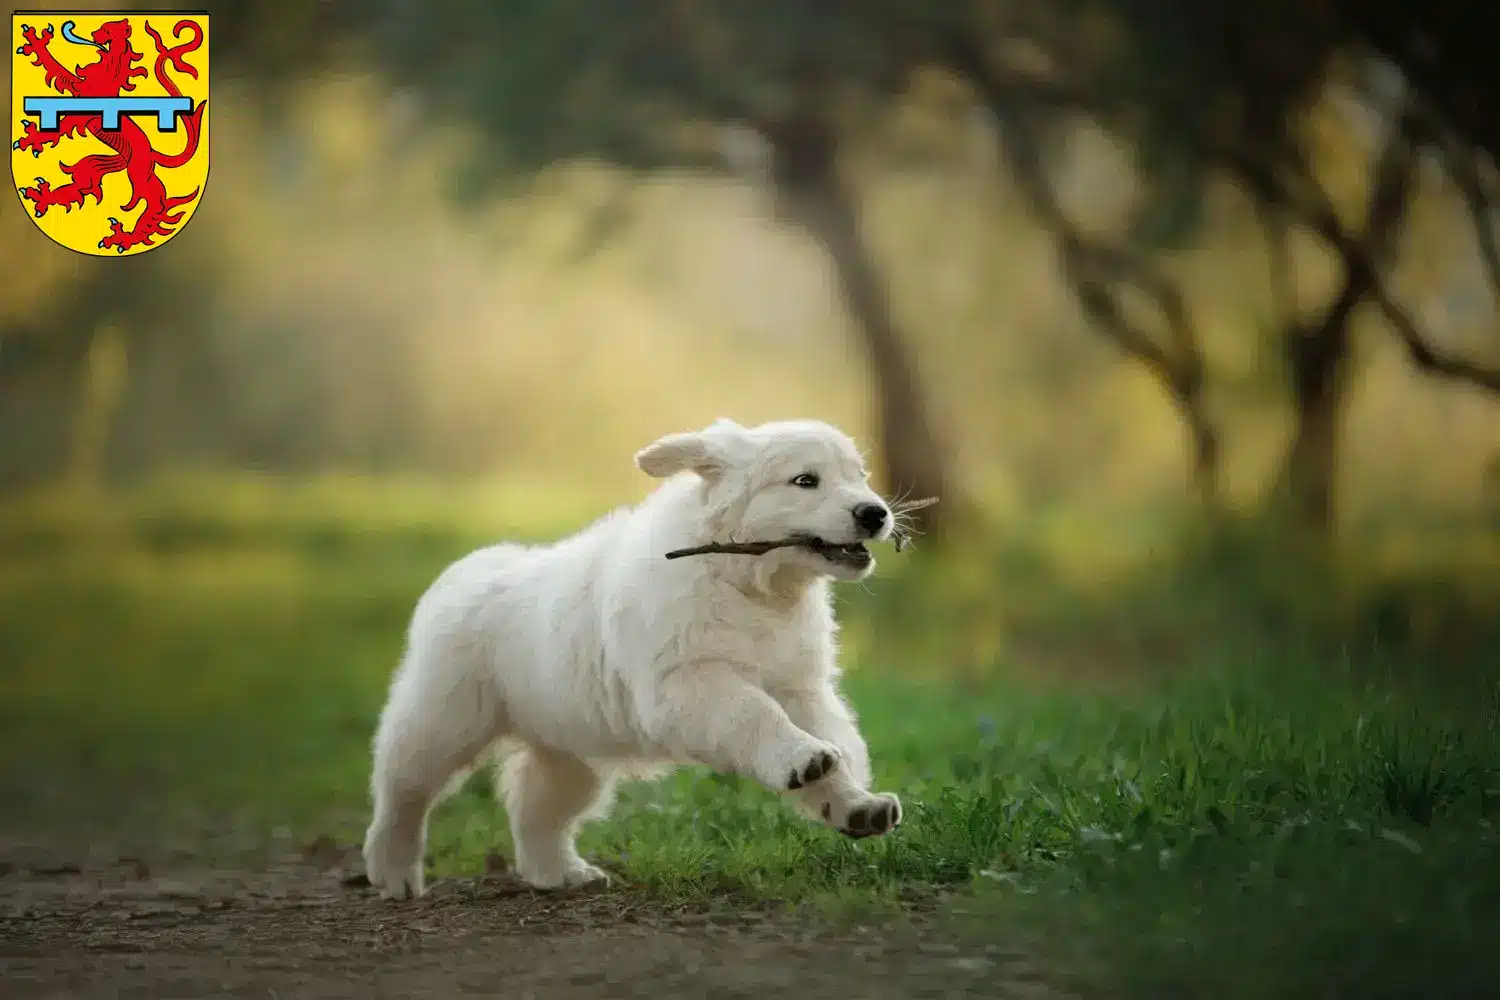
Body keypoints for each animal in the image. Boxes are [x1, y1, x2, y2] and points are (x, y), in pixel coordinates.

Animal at [13, 18, 208, 254]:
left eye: (106, 29)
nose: (93, 34)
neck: (107, 71)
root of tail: (153, 152)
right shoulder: (75, 88)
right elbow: (54, 67)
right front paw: (35, 42)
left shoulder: (80, 112)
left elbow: (57, 124)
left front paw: (31, 139)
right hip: (100, 165)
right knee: (82, 185)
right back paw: (42, 197)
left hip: (139, 177)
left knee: (154, 208)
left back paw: (123, 238)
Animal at [363, 413, 900, 899]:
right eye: (805, 481)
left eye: (860, 476)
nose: (875, 513)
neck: (750, 586)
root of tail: (466, 568)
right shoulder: (687, 683)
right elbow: (756, 715)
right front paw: (803, 757)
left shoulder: (800, 686)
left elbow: (831, 738)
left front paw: (855, 804)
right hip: (444, 718)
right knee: (402, 791)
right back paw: (393, 873)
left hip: (570, 746)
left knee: (538, 809)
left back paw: (560, 873)